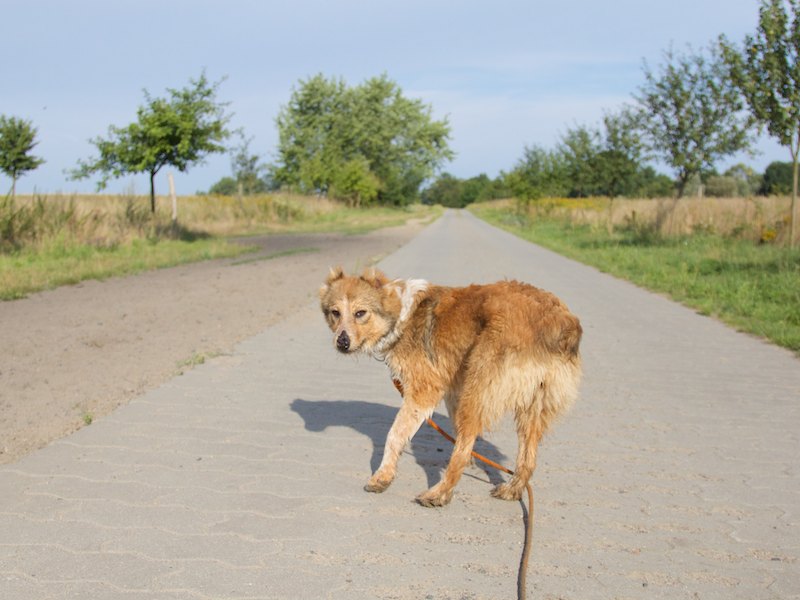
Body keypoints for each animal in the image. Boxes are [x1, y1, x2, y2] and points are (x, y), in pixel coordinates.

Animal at [319, 267, 582, 507]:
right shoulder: (453, 391)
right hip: (532, 406)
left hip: (478, 390)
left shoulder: (424, 391)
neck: (401, 313)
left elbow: (395, 434)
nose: (342, 342)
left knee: (462, 453)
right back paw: (512, 489)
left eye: (360, 313)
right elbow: (456, 429)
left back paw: (438, 494)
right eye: (335, 313)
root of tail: (559, 321)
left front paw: (382, 477)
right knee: (527, 457)